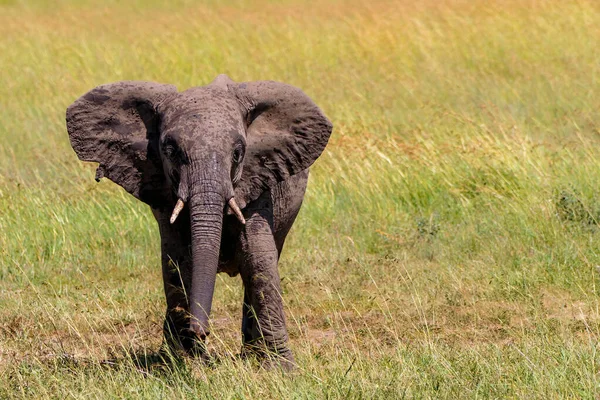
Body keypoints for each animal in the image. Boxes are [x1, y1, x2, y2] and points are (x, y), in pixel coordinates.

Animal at [65, 73, 332, 368]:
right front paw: (182, 362)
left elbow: (258, 261)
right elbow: (177, 262)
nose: (201, 331)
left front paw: (280, 368)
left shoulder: (259, 181)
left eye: (238, 153)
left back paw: (250, 354)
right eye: (170, 150)